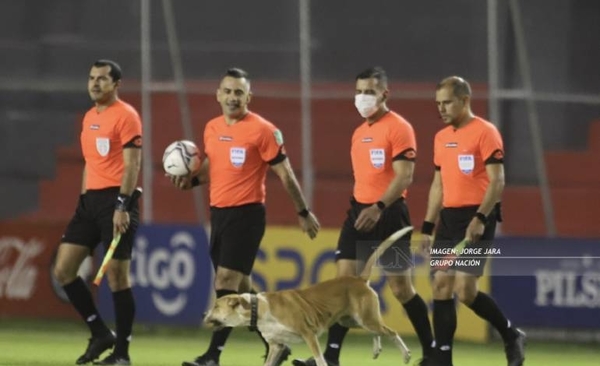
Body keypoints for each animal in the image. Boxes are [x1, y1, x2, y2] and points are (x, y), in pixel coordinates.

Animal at [203, 226, 412, 366]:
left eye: (216, 306)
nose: (204, 315)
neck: (259, 309)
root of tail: (358, 279)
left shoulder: (308, 333)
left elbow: (320, 360)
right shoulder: (276, 345)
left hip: (364, 317)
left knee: (391, 332)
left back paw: (406, 354)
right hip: (351, 319)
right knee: (375, 331)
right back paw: (377, 348)